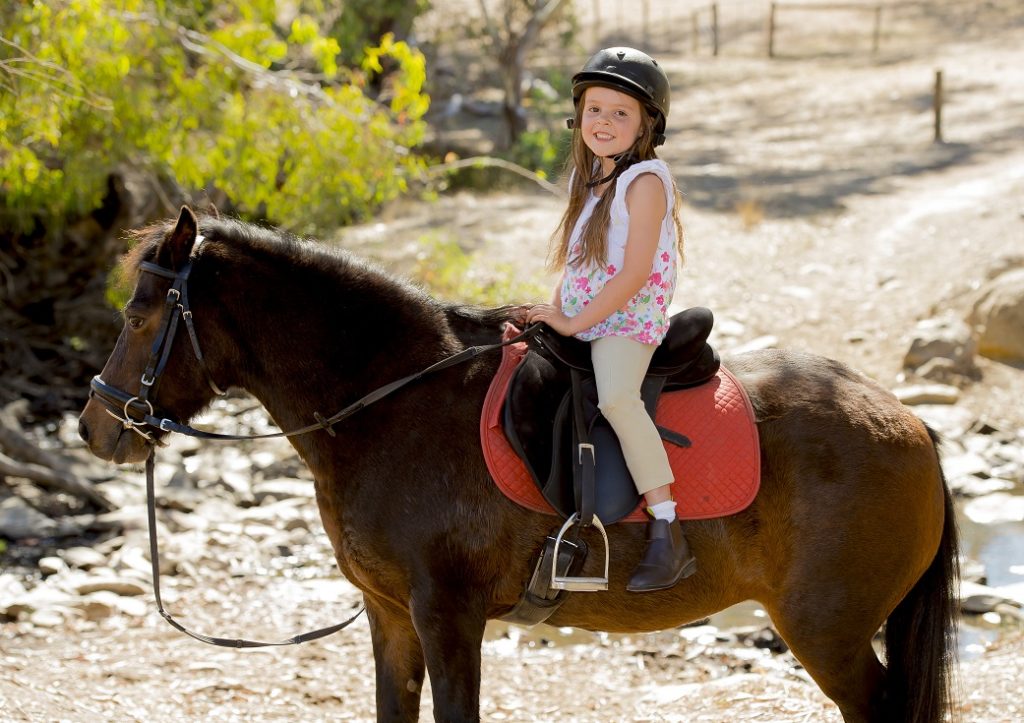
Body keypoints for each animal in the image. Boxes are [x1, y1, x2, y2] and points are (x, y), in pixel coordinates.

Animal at [79, 205, 958, 716]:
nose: (96, 426)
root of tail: (910, 422)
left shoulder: (448, 616)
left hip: (827, 631)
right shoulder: (393, 618)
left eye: (137, 314)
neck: (393, 402)